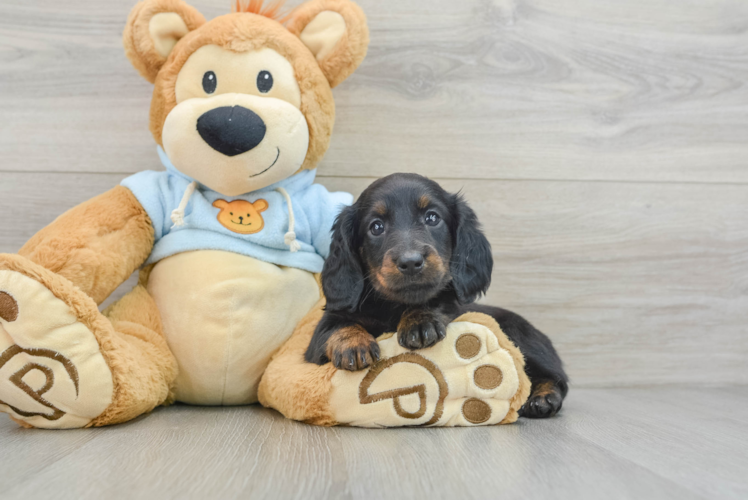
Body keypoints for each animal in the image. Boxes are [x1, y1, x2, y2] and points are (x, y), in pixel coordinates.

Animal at [304, 174, 568, 416]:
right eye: (376, 227)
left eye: (432, 217)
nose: (411, 262)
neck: (394, 307)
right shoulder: (317, 340)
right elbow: (337, 327)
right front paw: (353, 344)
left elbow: (436, 302)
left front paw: (419, 322)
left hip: (521, 337)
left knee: (557, 378)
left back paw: (543, 398)